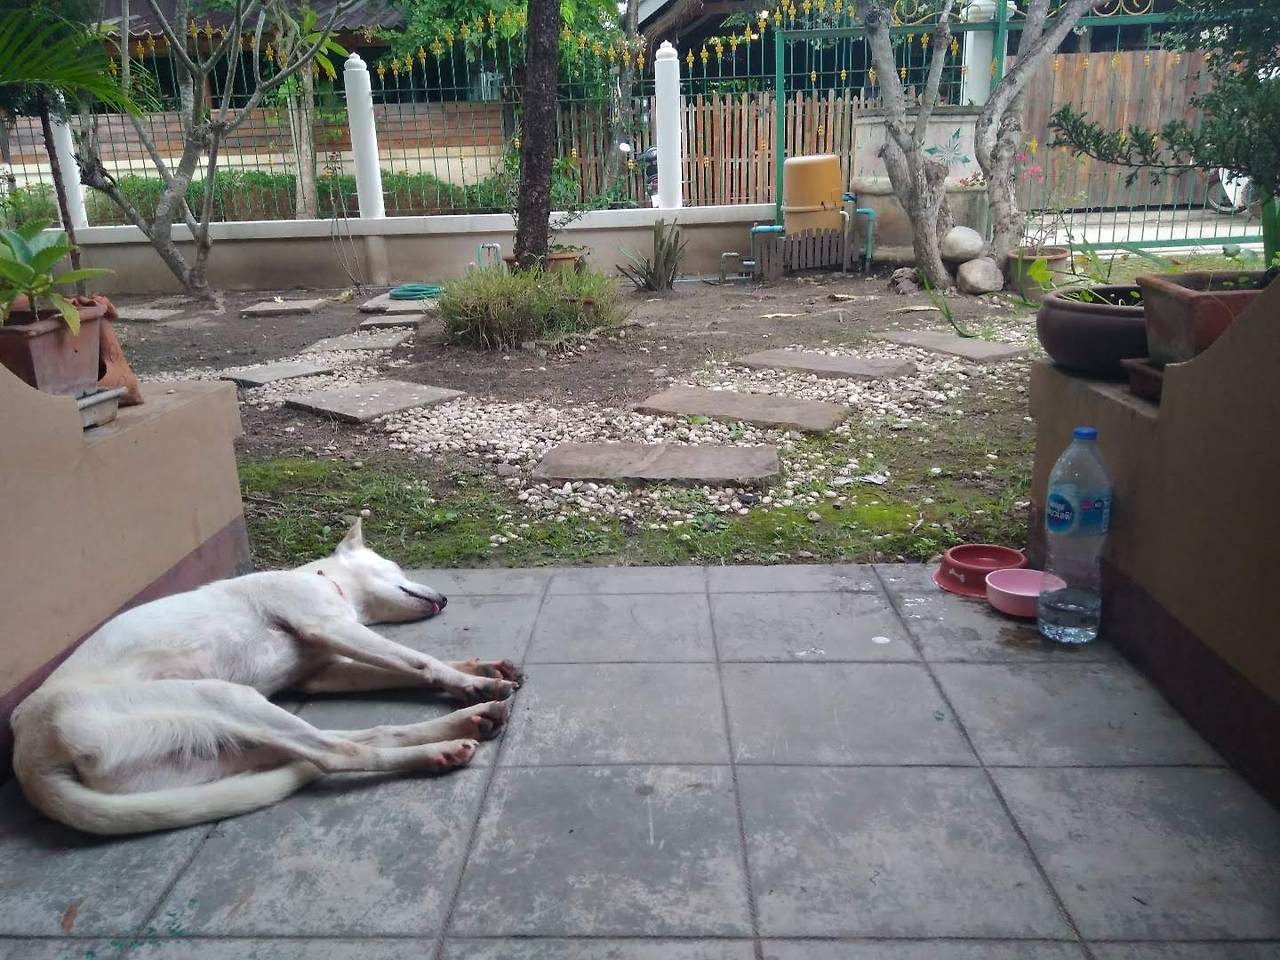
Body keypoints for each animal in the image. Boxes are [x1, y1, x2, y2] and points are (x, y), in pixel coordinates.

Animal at [11, 519, 521, 836]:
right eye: (395, 566)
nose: (446, 599)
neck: (325, 582)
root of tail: (29, 760)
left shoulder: (322, 672)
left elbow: (407, 666)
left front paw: (477, 669)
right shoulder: (327, 627)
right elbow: (418, 661)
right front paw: (472, 682)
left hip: (210, 751)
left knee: (354, 738)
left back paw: (466, 725)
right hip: (222, 698)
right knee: (337, 754)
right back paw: (445, 742)